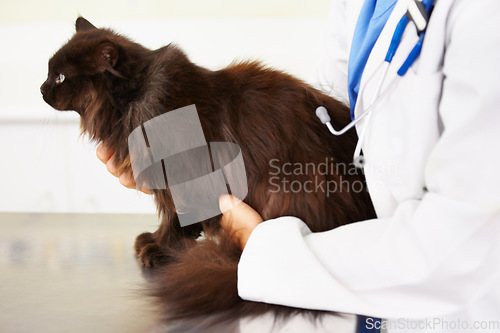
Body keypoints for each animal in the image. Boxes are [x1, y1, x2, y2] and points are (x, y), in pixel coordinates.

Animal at [42, 17, 376, 330]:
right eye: (48, 73)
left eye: (60, 77)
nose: (42, 89)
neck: (135, 99)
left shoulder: (180, 176)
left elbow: (174, 215)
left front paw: (159, 247)